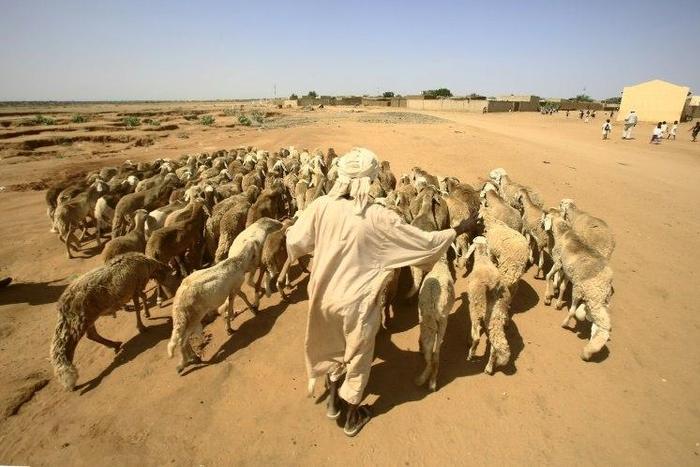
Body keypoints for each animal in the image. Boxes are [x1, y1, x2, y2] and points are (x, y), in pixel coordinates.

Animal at [50, 253, 171, 390]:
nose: (169, 269)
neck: (147, 264)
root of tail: (62, 305)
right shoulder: (135, 287)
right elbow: (139, 304)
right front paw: (141, 326)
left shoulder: (136, 288)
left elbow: (143, 297)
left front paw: (147, 314)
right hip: (79, 320)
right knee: (67, 346)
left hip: (88, 317)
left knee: (91, 335)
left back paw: (115, 344)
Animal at [167, 218, 283, 373]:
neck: (237, 261)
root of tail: (178, 302)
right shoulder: (234, 288)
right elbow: (234, 301)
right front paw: (231, 324)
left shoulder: (234, 288)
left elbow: (242, 296)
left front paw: (250, 309)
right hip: (193, 317)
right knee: (182, 340)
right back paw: (187, 361)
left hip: (187, 319)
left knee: (182, 339)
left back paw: (190, 359)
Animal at [415, 254, 455, 391]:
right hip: (442, 321)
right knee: (436, 353)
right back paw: (432, 382)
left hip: (426, 323)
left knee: (429, 355)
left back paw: (422, 379)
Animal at [464, 237, 511, 374]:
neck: (483, 259)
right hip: (496, 317)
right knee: (494, 346)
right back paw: (489, 368)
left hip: (476, 311)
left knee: (477, 337)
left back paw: (470, 354)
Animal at [542, 211, 614, 361]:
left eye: (545, 218)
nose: (541, 225)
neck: (563, 233)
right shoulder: (566, 270)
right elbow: (561, 286)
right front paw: (556, 301)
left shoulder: (560, 264)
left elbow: (550, 278)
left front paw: (549, 299)